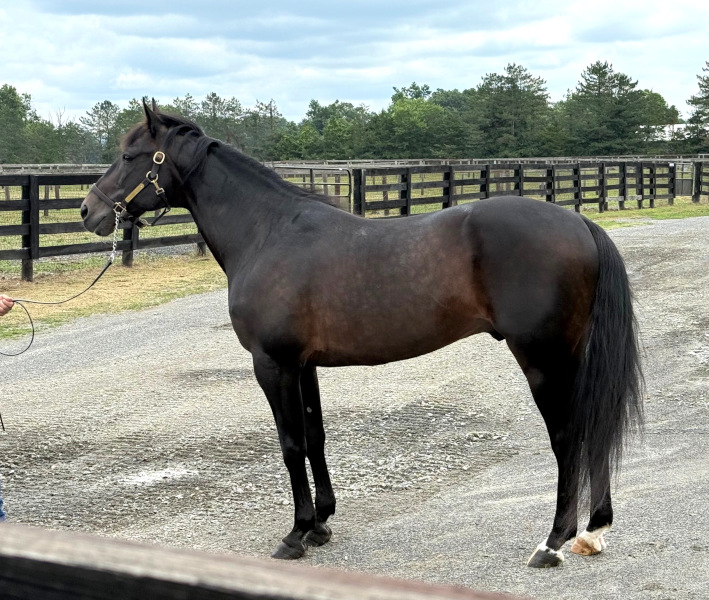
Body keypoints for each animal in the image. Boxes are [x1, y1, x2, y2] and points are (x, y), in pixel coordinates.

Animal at [81, 103, 643, 568]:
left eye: (129, 156)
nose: (89, 211)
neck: (267, 233)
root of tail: (580, 224)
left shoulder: (273, 364)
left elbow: (289, 444)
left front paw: (296, 534)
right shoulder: (303, 365)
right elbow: (315, 437)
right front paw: (321, 524)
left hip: (544, 360)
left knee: (568, 436)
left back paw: (553, 542)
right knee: (591, 427)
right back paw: (593, 531)